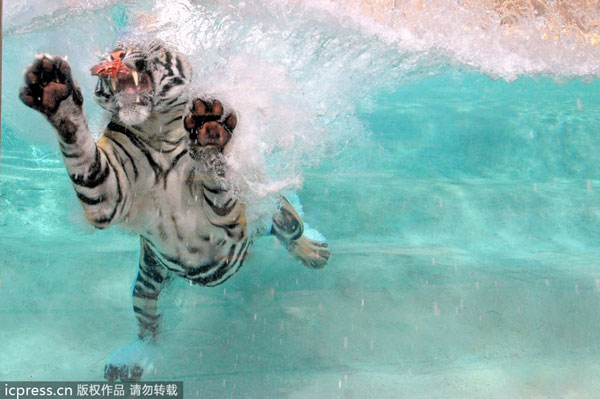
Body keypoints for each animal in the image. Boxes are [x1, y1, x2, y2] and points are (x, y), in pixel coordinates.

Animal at [18, 39, 330, 382]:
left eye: (140, 45)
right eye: (114, 50)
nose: (115, 56)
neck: (156, 131)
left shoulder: (230, 220)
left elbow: (216, 178)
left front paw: (208, 130)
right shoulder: (108, 197)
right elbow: (82, 153)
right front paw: (53, 89)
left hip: (272, 215)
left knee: (290, 225)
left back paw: (314, 247)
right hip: (148, 280)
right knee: (148, 326)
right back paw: (133, 359)